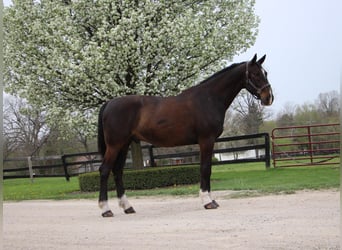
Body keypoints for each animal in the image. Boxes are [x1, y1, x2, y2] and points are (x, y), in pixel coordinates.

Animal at [97, 54, 274, 217]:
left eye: (265, 73)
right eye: (255, 74)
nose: (269, 98)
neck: (209, 98)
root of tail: (109, 104)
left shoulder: (210, 142)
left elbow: (208, 169)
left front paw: (212, 199)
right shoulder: (206, 140)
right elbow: (204, 169)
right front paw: (207, 201)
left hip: (124, 144)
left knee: (118, 171)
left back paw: (127, 207)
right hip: (115, 145)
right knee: (105, 170)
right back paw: (106, 209)